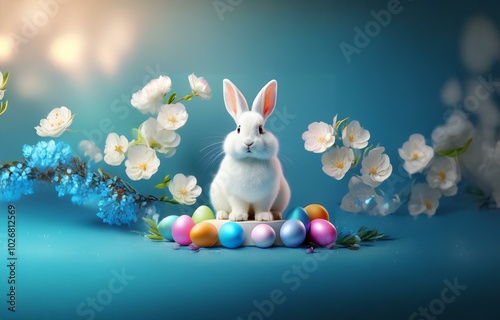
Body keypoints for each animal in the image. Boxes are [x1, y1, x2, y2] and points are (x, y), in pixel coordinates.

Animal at [210, 79, 290, 221]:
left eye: (260, 129)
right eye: (238, 129)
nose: (248, 142)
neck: (249, 160)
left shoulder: (267, 195)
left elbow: (263, 207)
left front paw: (264, 217)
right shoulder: (234, 195)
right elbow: (238, 205)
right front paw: (237, 217)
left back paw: (275, 215)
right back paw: (223, 215)